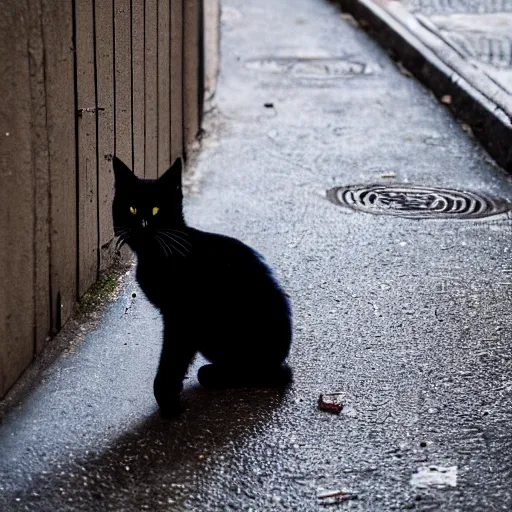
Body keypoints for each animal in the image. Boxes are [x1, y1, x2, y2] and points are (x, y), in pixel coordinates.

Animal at [111, 156, 292, 416]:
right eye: (132, 209)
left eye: (156, 209)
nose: (144, 223)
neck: (158, 256)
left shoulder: (182, 318)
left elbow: (171, 359)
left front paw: (167, 401)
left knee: (273, 373)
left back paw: (215, 374)